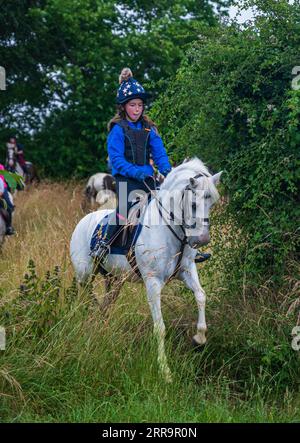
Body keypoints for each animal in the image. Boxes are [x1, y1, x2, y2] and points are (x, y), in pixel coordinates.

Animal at [69, 159, 220, 382]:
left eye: (212, 203)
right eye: (193, 204)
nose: (201, 240)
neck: (169, 228)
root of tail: (83, 221)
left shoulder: (187, 270)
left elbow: (201, 296)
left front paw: (198, 339)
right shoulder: (153, 282)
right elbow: (160, 328)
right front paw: (165, 372)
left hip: (114, 280)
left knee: (106, 306)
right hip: (85, 275)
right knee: (86, 299)